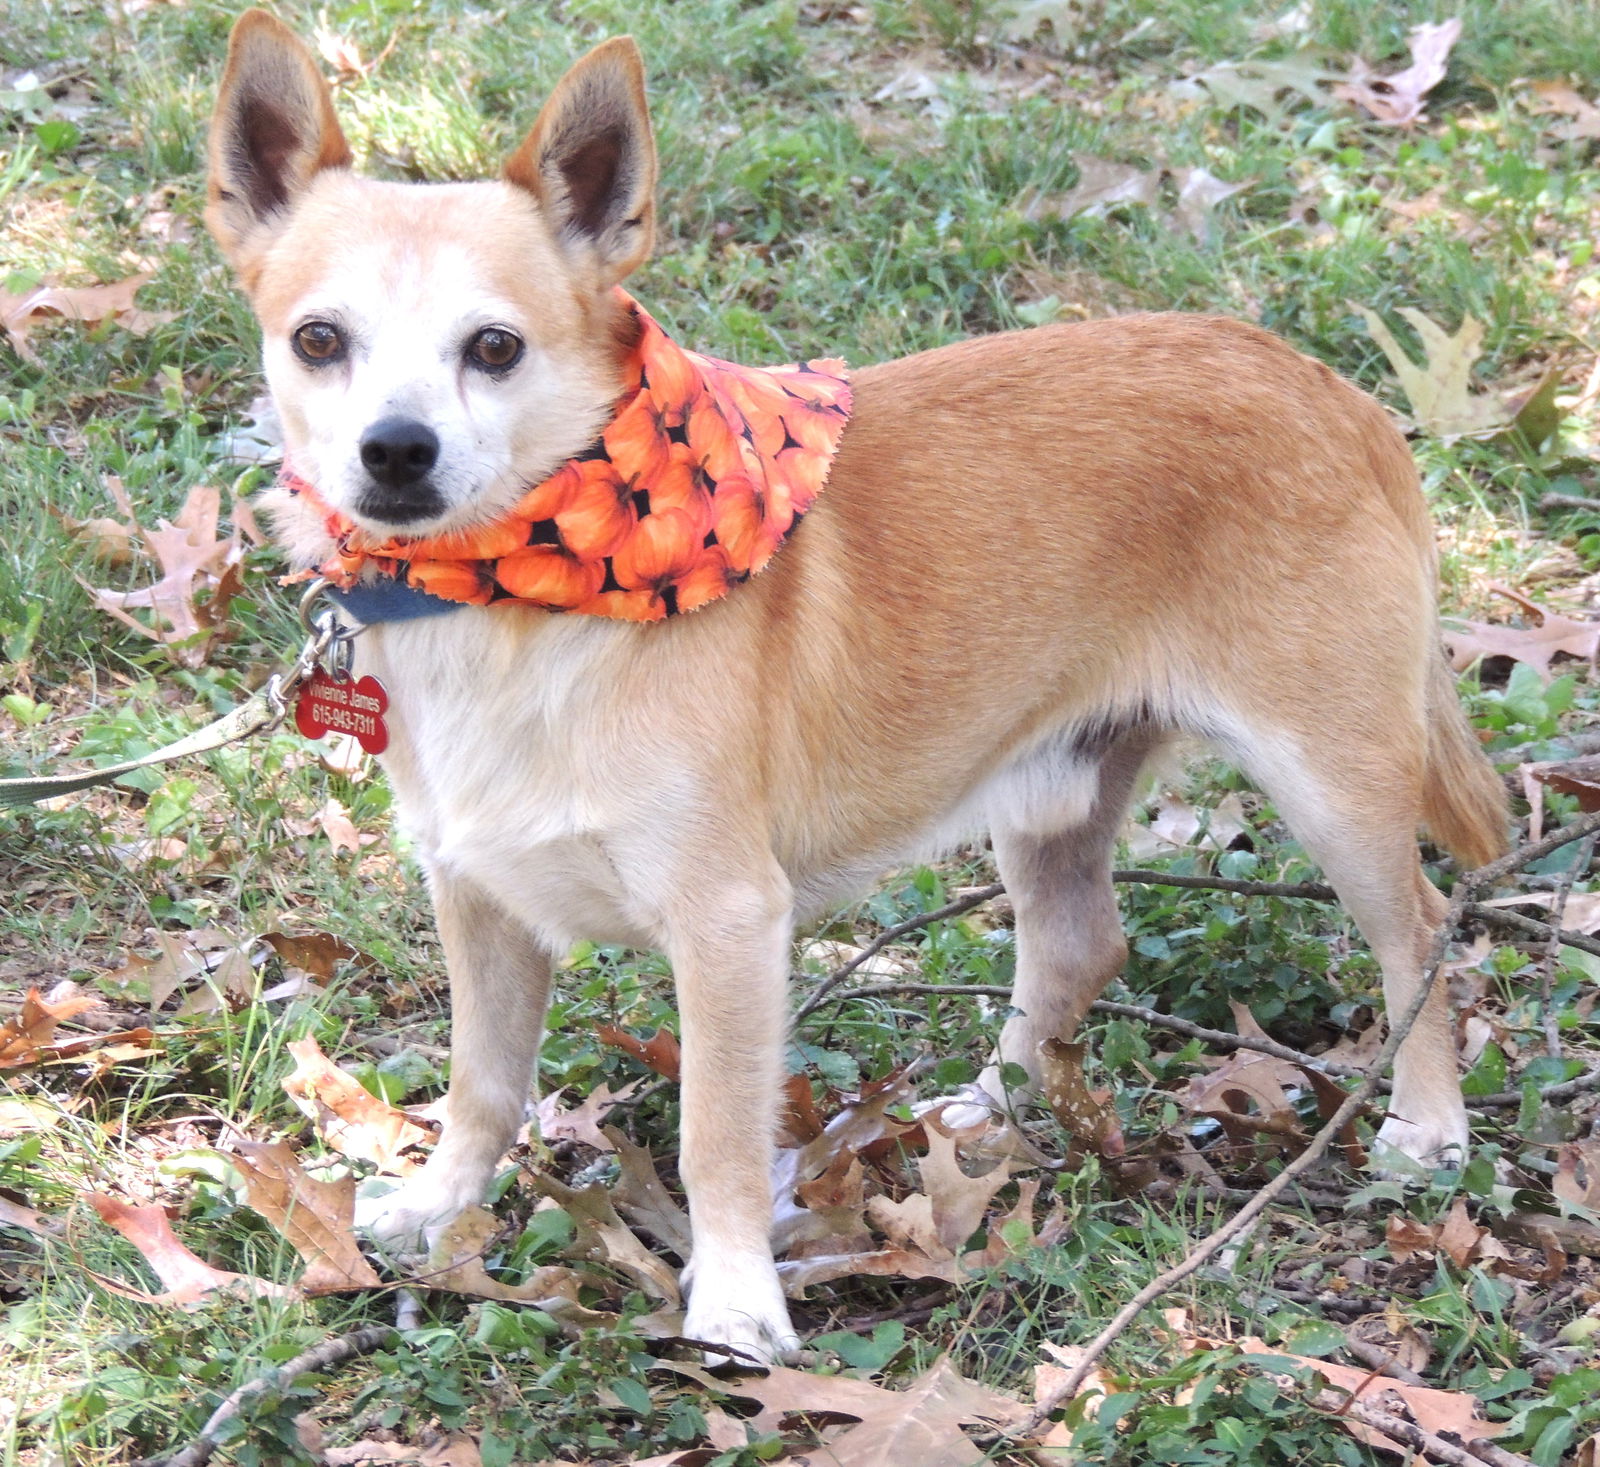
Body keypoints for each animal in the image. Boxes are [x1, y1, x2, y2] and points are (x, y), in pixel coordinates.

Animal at [206, 8, 1504, 1363]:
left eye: (495, 348)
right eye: (318, 341)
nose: (394, 453)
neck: (514, 600)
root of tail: (1329, 390)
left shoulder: (728, 924)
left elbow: (716, 1136)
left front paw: (734, 1297)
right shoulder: (478, 894)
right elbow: (483, 1083)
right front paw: (440, 1203)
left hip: (1329, 781)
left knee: (1421, 935)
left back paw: (1425, 1128)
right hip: (1050, 793)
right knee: (1077, 946)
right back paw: (983, 1112)